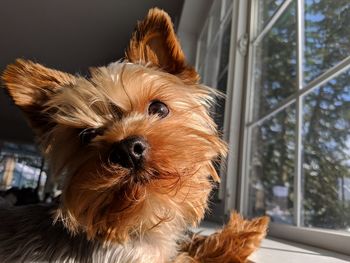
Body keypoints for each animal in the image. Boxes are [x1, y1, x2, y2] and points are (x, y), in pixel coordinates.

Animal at [1, 8, 268, 263]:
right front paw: (239, 235)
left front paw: (245, 228)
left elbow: (190, 242)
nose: (127, 150)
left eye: (159, 108)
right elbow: (195, 256)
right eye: (86, 136)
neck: (143, 224)